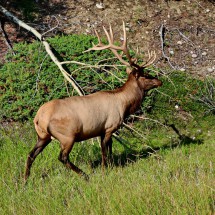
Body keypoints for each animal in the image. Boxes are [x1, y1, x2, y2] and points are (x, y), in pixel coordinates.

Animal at [24, 21, 162, 181]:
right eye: (145, 75)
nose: (159, 81)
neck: (125, 105)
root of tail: (39, 118)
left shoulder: (102, 130)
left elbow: (109, 149)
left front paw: (111, 166)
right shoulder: (109, 126)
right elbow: (104, 151)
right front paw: (104, 171)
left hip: (42, 136)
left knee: (31, 154)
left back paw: (25, 180)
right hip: (66, 136)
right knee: (62, 157)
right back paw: (85, 175)